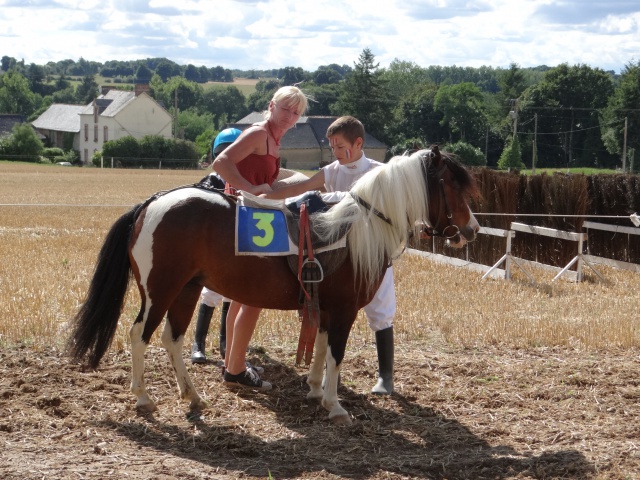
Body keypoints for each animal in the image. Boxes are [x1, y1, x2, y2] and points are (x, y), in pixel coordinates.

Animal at [67, 147, 480, 424]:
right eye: (451, 185)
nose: (472, 230)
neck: (358, 227)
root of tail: (152, 203)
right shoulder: (344, 310)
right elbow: (336, 355)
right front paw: (334, 405)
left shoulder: (325, 308)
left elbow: (320, 349)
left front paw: (314, 389)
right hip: (160, 293)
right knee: (139, 336)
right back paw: (143, 398)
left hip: (185, 290)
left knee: (173, 339)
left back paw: (193, 396)